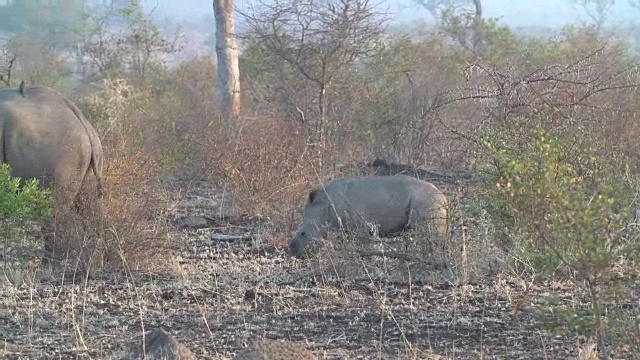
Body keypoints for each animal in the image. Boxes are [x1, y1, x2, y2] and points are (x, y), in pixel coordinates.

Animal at [292, 174, 450, 256]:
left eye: (303, 234)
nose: (292, 251)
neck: (324, 206)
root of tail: (444, 199)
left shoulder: (359, 225)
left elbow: (362, 242)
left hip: (427, 200)